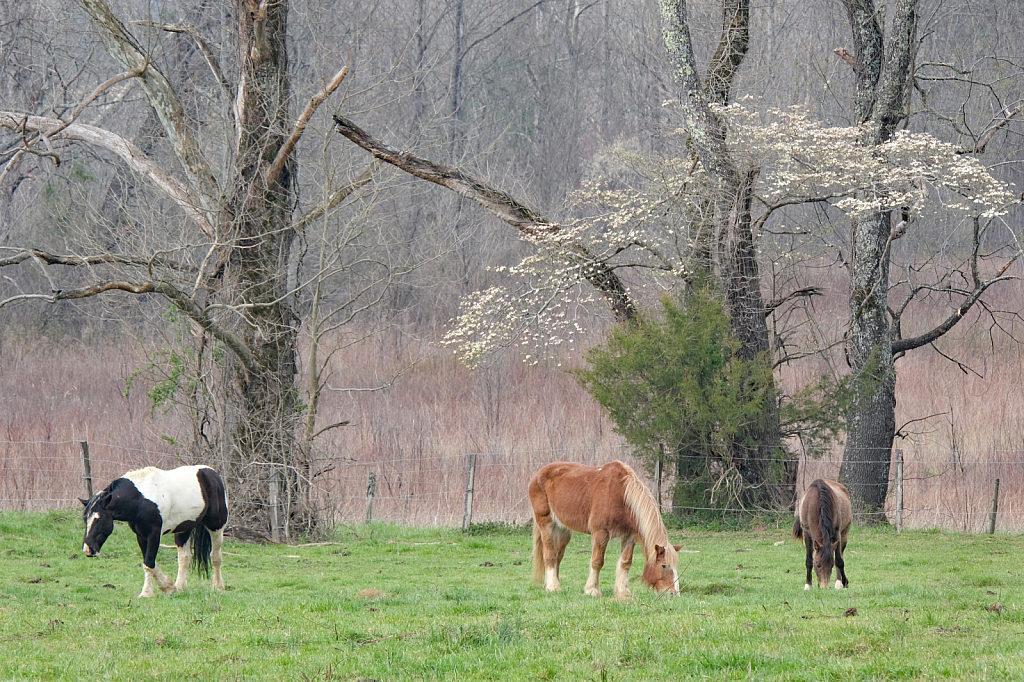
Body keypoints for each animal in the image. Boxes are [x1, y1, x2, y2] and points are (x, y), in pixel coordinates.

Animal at [79, 462, 228, 593]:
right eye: (85, 518)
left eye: (99, 519)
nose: (88, 550)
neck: (141, 499)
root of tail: (212, 473)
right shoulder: (141, 536)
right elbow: (149, 563)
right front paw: (168, 587)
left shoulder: (154, 534)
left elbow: (149, 563)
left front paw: (146, 593)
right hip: (183, 529)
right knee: (184, 558)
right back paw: (180, 587)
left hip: (216, 526)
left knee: (215, 557)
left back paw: (219, 586)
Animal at [528, 458, 679, 598]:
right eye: (663, 565)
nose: (673, 593)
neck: (621, 495)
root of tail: (537, 475)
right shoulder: (601, 533)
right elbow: (597, 561)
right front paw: (592, 590)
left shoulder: (629, 536)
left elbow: (626, 563)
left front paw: (623, 592)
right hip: (546, 523)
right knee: (550, 554)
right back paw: (553, 587)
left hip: (563, 529)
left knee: (558, 556)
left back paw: (551, 584)